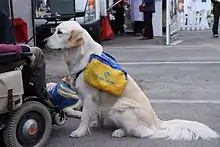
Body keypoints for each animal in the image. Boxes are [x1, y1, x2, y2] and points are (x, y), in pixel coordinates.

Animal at [45, 20, 219, 140]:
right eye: (54, 31)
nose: (44, 41)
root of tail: (156, 121)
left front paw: (80, 132)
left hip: (120, 107)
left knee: (144, 133)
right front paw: (96, 124)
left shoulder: (88, 97)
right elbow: (97, 114)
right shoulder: (96, 99)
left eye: (59, 32)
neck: (84, 58)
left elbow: (84, 117)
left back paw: (119, 132)